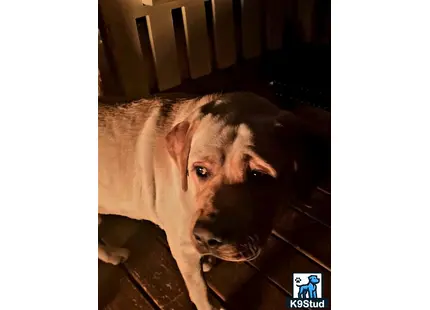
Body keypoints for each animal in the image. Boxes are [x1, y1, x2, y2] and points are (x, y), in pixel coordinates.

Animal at [98, 92, 326, 310]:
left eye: (258, 175)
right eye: (200, 171)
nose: (205, 238)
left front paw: (207, 257)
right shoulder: (182, 248)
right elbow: (200, 291)